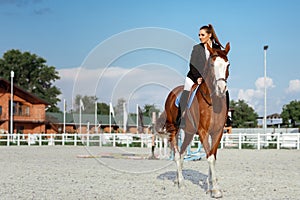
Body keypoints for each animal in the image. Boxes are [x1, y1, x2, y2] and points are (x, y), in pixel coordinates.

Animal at [155, 42, 230, 198]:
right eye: (212, 65)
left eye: (228, 65)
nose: (221, 89)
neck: (213, 101)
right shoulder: (203, 131)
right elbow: (210, 157)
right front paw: (216, 190)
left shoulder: (217, 132)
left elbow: (212, 156)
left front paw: (210, 186)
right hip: (174, 129)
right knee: (177, 155)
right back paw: (182, 184)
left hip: (189, 133)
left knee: (183, 153)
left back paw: (177, 180)